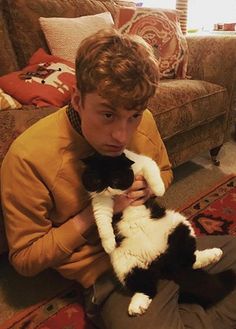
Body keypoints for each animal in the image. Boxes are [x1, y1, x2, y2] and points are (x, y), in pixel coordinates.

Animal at [81, 149, 236, 316]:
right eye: (96, 180)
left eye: (116, 179)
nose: (106, 188)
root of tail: (162, 259)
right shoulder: (100, 202)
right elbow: (102, 222)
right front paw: (108, 244)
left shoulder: (143, 162)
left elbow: (152, 171)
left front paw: (158, 189)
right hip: (126, 266)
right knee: (148, 287)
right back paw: (137, 306)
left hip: (180, 226)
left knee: (190, 260)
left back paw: (214, 254)